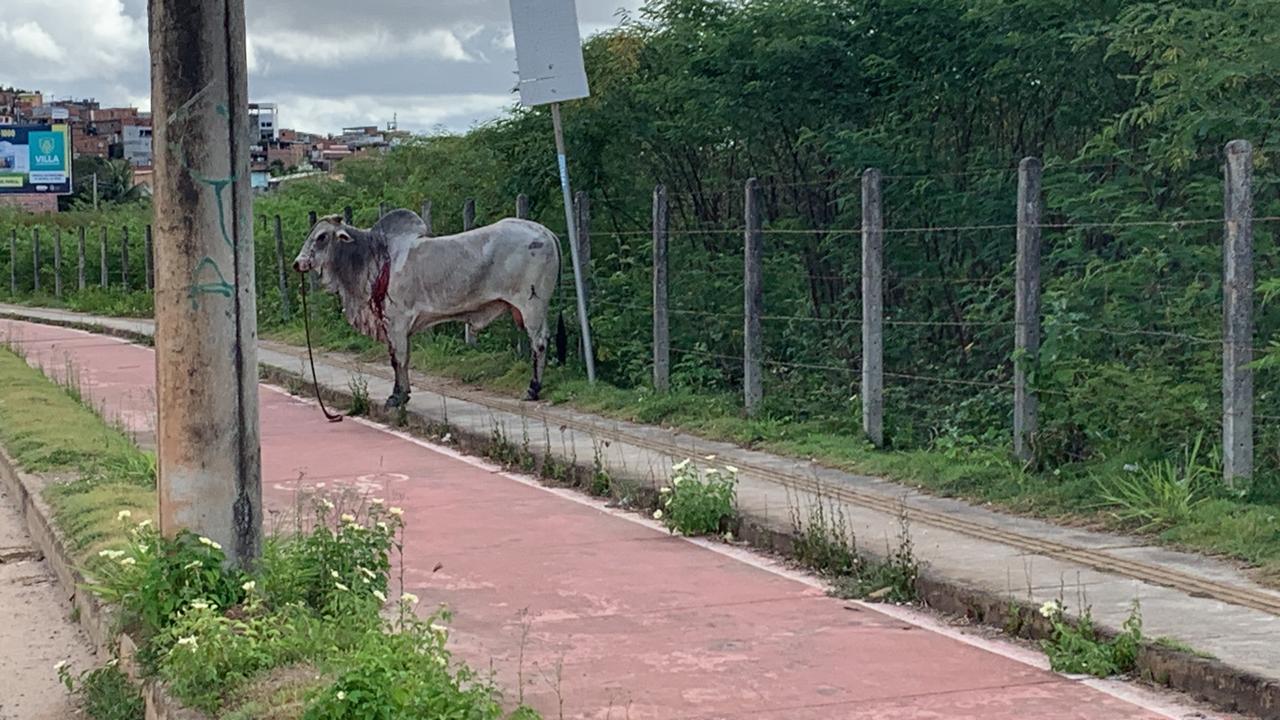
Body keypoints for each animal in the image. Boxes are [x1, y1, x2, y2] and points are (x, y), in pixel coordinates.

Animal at [299, 210, 565, 407]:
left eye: (321, 237)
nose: (298, 263)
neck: (374, 256)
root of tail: (545, 232)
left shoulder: (396, 322)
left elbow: (398, 359)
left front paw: (397, 396)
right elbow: (401, 359)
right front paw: (403, 393)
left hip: (531, 304)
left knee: (539, 343)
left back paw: (532, 389)